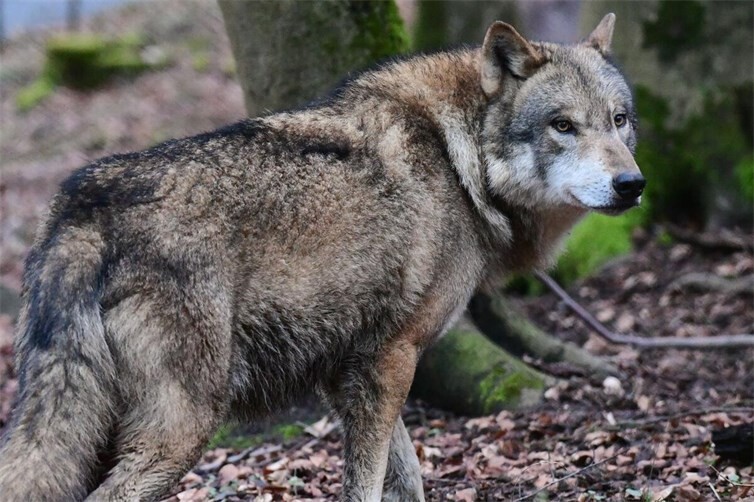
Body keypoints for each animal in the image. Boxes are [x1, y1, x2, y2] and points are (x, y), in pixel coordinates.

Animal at [0, 13, 643, 502]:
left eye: (619, 121)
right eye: (563, 125)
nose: (632, 184)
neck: (462, 166)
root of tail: (83, 204)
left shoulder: (349, 367)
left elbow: (406, 480)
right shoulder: (391, 359)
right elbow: (368, 483)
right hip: (179, 433)